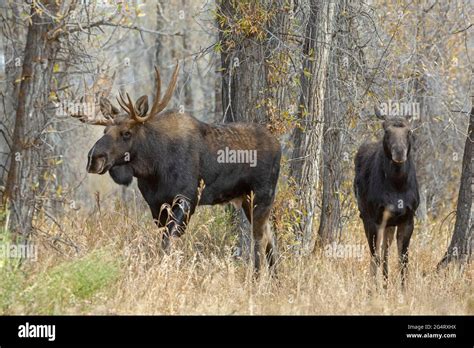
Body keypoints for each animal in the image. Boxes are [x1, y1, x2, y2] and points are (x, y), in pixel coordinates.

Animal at [71, 63, 282, 274]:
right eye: (104, 130)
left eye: (126, 133)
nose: (93, 158)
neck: (152, 168)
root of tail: (278, 144)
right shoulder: (155, 204)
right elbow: (163, 239)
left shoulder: (186, 198)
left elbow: (169, 241)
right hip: (246, 198)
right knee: (269, 235)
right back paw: (274, 276)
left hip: (263, 194)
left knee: (260, 238)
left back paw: (257, 276)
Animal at [354, 107, 420, 286]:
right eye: (386, 130)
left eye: (408, 131)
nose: (399, 152)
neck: (397, 184)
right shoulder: (375, 219)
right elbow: (375, 256)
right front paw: (372, 289)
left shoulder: (407, 219)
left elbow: (403, 260)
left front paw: (403, 289)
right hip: (366, 217)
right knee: (377, 253)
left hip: (390, 223)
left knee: (385, 251)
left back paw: (385, 283)